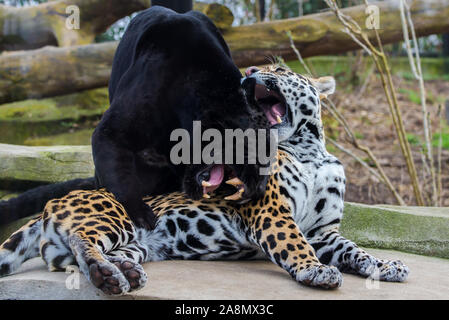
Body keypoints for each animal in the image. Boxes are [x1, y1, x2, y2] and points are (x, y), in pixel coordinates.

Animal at [0, 64, 408, 296]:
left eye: (279, 67)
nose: (249, 71)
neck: (307, 150)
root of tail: (54, 203)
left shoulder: (324, 231)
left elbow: (356, 251)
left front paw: (386, 266)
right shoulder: (272, 210)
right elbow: (294, 242)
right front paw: (316, 270)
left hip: (137, 243)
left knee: (74, 256)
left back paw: (123, 273)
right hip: (115, 216)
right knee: (81, 240)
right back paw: (106, 275)